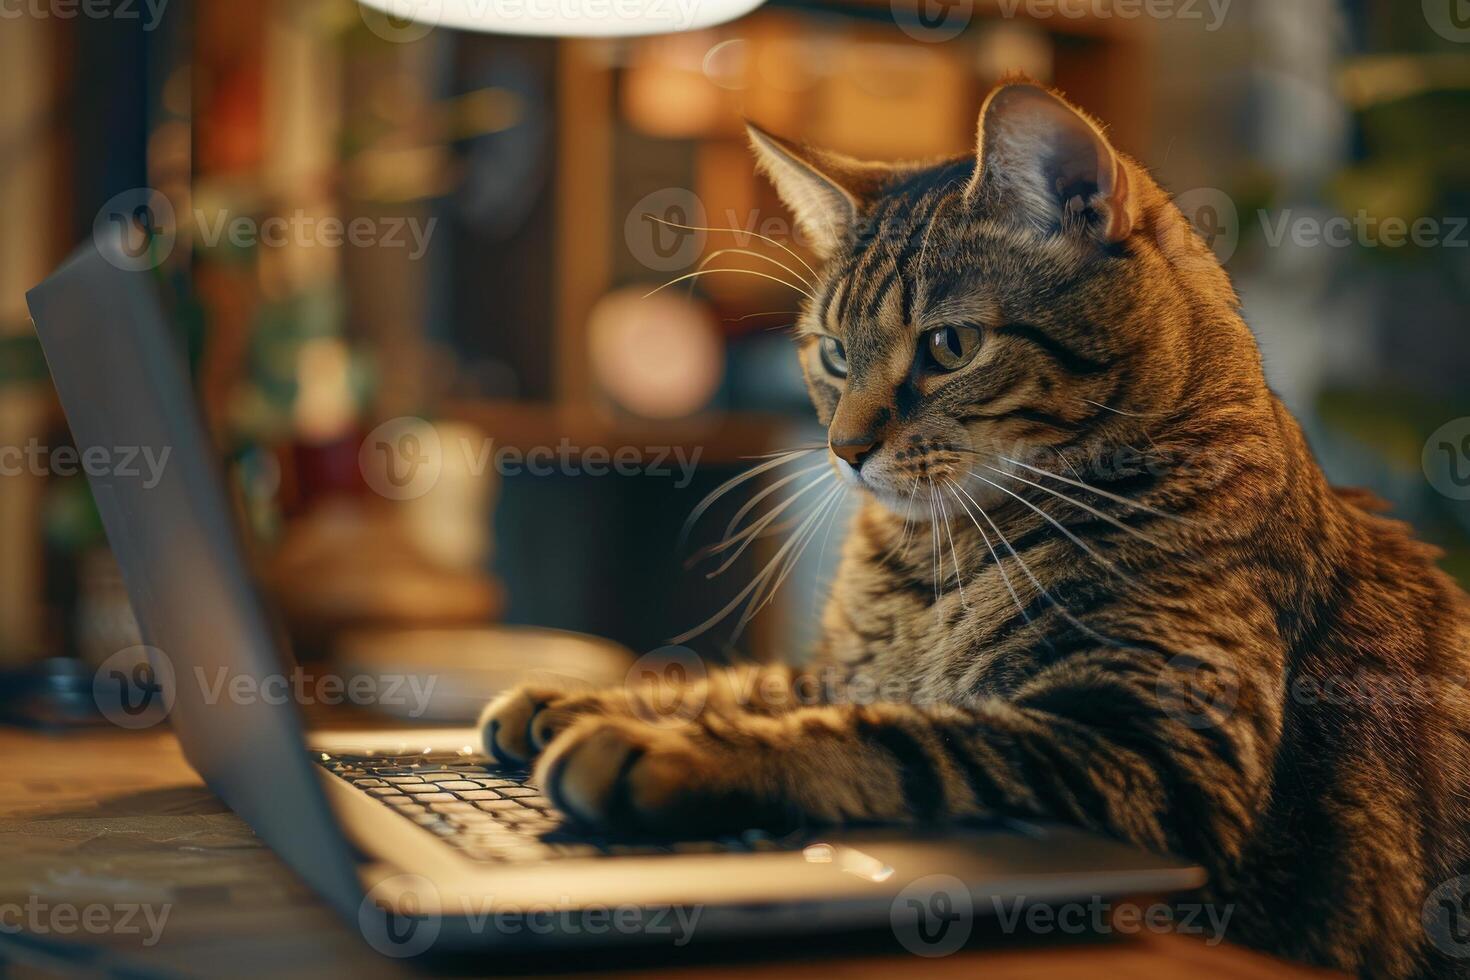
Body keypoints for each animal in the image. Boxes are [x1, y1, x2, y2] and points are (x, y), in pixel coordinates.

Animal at [479, 78, 1470, 980]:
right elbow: (771, 681)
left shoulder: (1153, 749)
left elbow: (897, 736)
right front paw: (580, 699)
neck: (927, 566)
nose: (844, 450)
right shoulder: (846, 666)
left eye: (949, 347)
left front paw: (661, 744)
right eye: (832, 354)